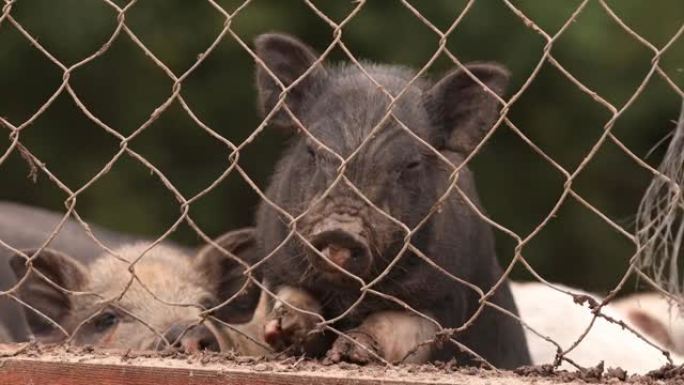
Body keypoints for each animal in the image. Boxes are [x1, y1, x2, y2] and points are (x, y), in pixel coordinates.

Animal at [254, 31, 532, 368]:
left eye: (410, 165)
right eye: (312, 151)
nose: (340, 231)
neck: (349, 294)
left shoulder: (446, 297)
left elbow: (394, 325)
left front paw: (350, 351)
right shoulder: (276, 262)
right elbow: (293, 295)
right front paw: (282, 328)